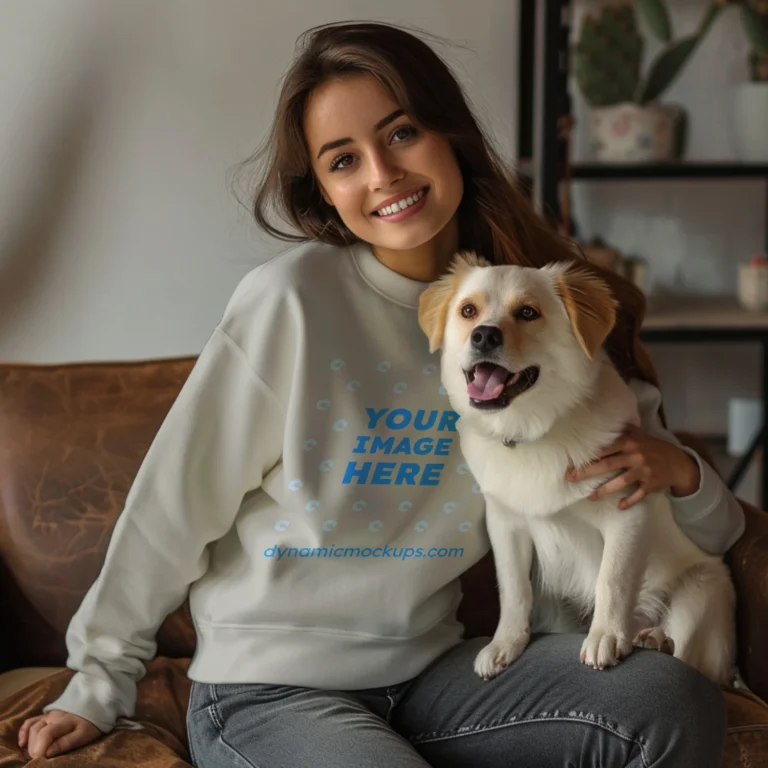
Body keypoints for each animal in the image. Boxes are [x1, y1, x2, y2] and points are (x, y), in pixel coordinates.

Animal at [420, 250, 736, 684]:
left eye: (528, 312)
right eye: (468, 311)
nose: (483, 335)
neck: (533, 431)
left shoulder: (626, 512)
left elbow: (612, 580)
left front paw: (606, 636)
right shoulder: (506, 525)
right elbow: (514, 589)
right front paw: (505, 643)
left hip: (700, 593)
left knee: (692, 658)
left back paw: (654, 638)